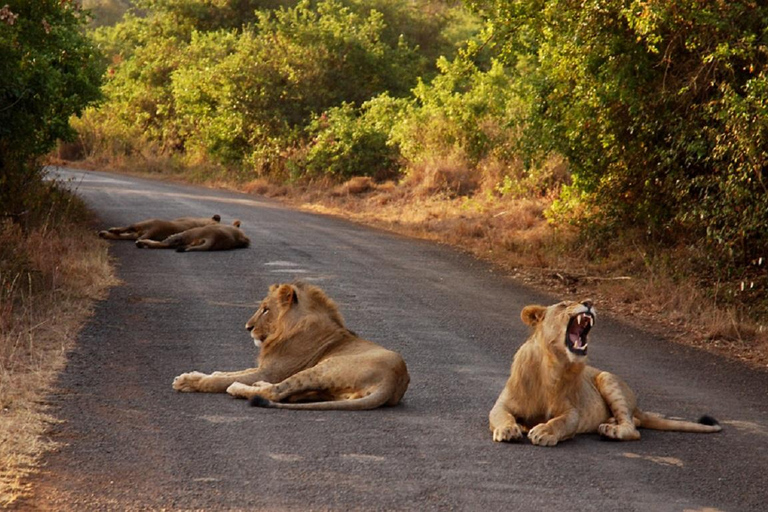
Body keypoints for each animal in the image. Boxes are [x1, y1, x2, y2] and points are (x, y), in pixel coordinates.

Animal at [172, 282, 412, 410]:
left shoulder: (271, 371)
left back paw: (241, 388)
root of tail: (394, 380)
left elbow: (221, 381)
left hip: (324, 368)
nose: (248, 327)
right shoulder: (264, 367)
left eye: (266, 309)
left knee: (275, 391)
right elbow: (227, 372)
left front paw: (188, 382)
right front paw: (196, 375)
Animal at [488, 298, 724, 446]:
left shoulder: (572, 411)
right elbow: (500, 415)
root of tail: (637, 407)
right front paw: (509, 429)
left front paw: (544, 432)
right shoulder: (503, 403)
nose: (589, 302)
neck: (551, 365)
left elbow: (561, 421)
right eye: (564, 304)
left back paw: (611, 430)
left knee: (633, 428)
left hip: (607, 378)